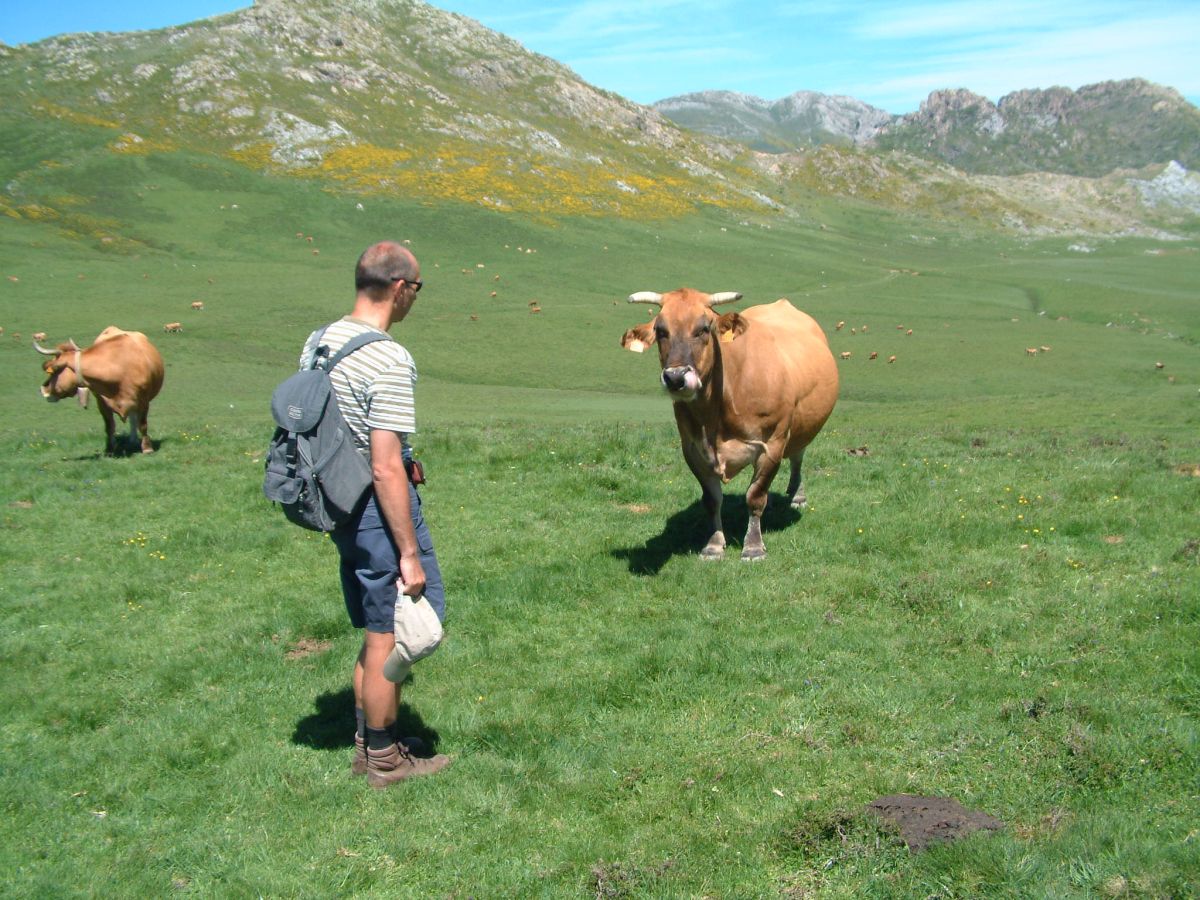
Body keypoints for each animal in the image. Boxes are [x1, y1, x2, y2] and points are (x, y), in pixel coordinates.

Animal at [33, 324, 165, 453]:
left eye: (53, 371)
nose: (42, 389)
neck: (118, 368)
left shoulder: (144, 400)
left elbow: (142, 424)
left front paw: (147, 448)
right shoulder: (102, 402)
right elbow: (109, 426)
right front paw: (111, 448)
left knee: (133, 418)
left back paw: (134, 440)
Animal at [624, 289, 840, 561]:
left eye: (704, 328)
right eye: (661, 330)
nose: (675, 377)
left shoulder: (772, 444)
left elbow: (755, 496)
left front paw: (754, 546)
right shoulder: (692, 449)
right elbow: (712, 500)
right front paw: (714, 545)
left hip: (801, 425)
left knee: (798, 455)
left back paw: (797, 495)